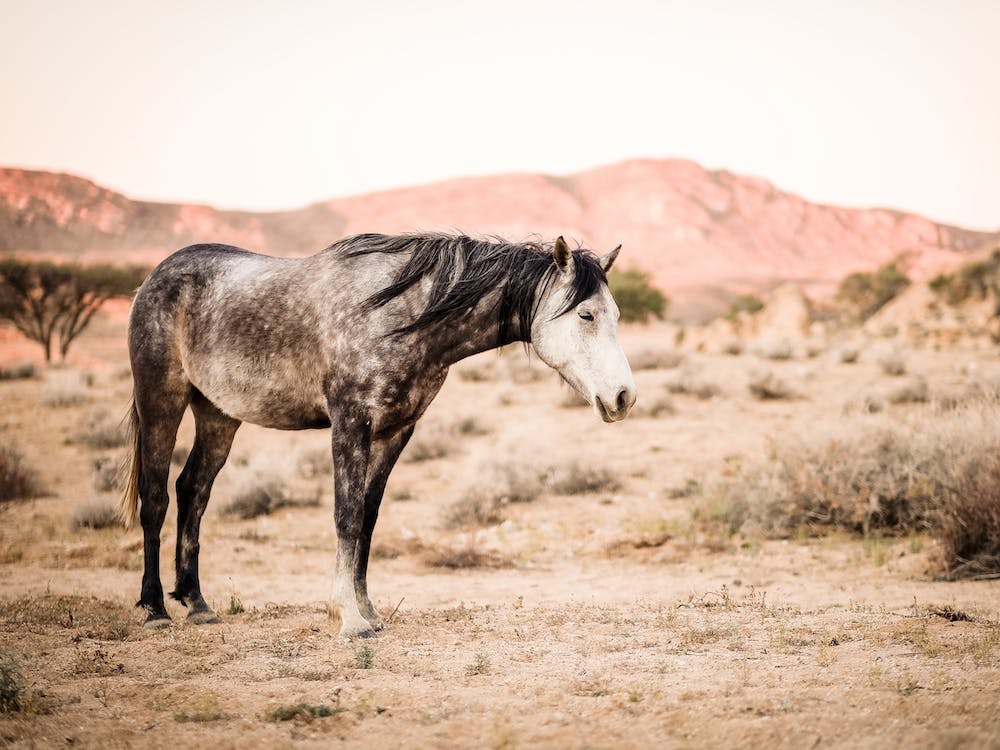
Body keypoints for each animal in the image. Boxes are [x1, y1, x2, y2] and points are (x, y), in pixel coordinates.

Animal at [120, 232, 636, 637]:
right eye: (586, 316)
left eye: (615, 315)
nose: (624, 396)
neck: (399, 314)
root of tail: (156, 277)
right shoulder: (350, 423)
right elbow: (346, 516)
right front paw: (348, 618)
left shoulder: (396, 431)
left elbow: (367, 520)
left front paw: (368, 610)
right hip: (161, 400)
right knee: (156, 498)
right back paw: (155, 609)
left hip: (218, 413)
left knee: (194, 491)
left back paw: (197, 604)